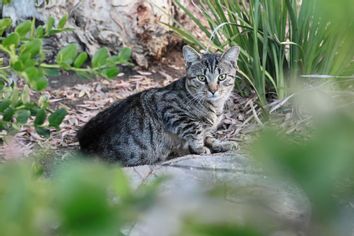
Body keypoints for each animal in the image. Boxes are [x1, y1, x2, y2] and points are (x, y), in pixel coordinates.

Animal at [77, 44, 241, 166]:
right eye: (201, 78)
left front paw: (221, 144)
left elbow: (209, 136)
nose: (213, 90)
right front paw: (200, 148)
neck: (214, 106)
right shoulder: (169, 109)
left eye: (222, 77)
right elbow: (196, 129)